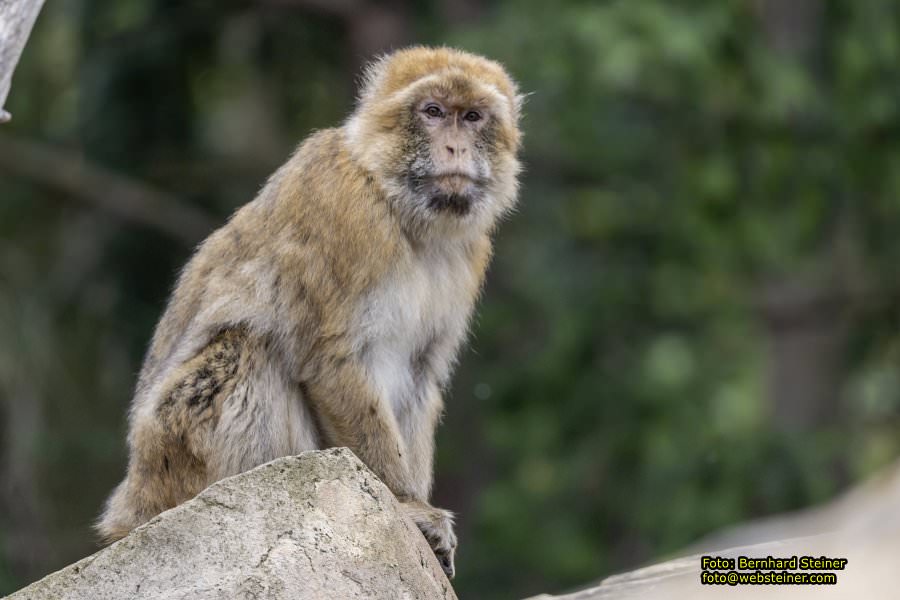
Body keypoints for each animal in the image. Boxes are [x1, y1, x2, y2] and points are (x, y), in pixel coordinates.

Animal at [96, 44, 524, 580]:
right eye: (432, 112)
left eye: (471, 117)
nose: (454, 148)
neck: (396, 202)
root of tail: (131, 505)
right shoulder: (346, 213)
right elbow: (330, 358)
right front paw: (409, 506)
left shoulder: (470, 254)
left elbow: (421, 376)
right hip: (172, 454)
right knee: (246, 348)